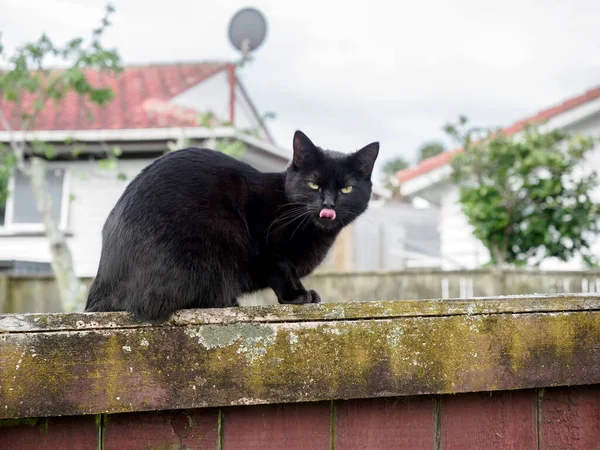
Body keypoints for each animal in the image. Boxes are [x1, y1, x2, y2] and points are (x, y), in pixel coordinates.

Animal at [84, 128, 380, 322]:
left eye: (347, 188)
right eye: (313, 184)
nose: (328, 204)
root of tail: (101, 288)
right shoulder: (263, 247)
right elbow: (282, 269)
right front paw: (296, 295)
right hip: (221, 236)